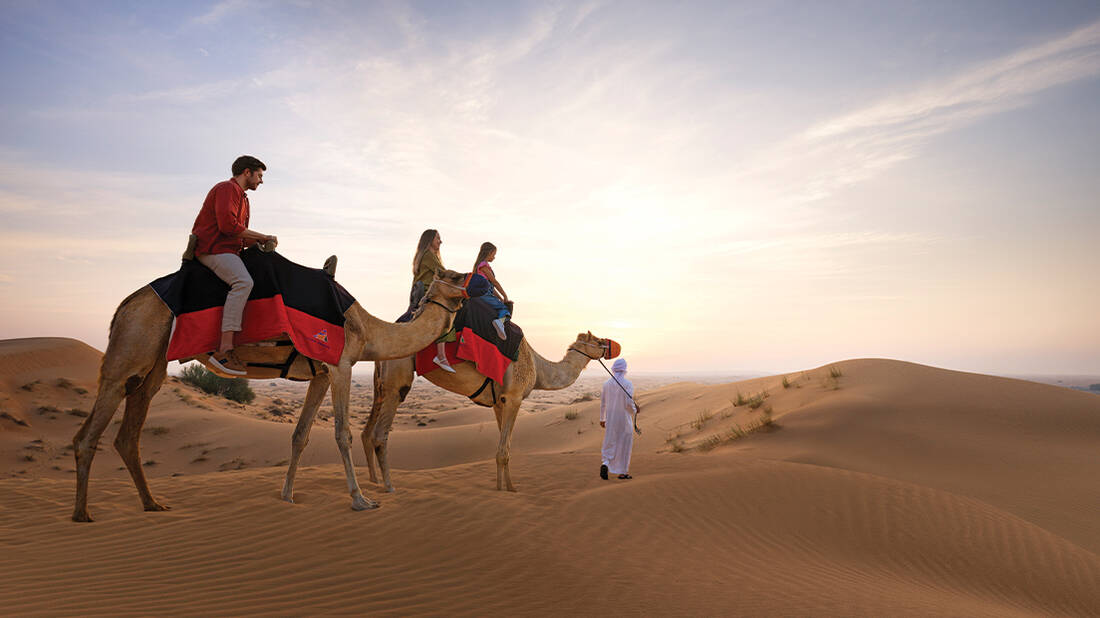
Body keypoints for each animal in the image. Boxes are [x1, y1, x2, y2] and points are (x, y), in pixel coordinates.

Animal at [72, 265, 469, 522]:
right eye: (454, 275)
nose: (474, 285)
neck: (369, 330)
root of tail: (126, 303)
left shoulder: (320, 374)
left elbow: (300, 434)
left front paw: (287, 495)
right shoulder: (341, 364)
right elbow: (342, 433)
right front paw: (361, 500)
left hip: (153, 363)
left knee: (129, 431)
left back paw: (153, 504)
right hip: (132, 345)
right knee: (91, 429)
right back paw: (82, 513)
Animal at [361, 331, 617, 492]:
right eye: (597, 340)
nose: (611, 345)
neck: (539, 367)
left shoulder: (498, 402)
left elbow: (504, 448)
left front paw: (503, 487)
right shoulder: (514, 397)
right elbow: (504, 450)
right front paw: (509, 491)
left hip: (381, 383)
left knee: (367, 432)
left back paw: (372, 481)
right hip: (398, 378)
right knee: (380, 434)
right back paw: (388, 486)